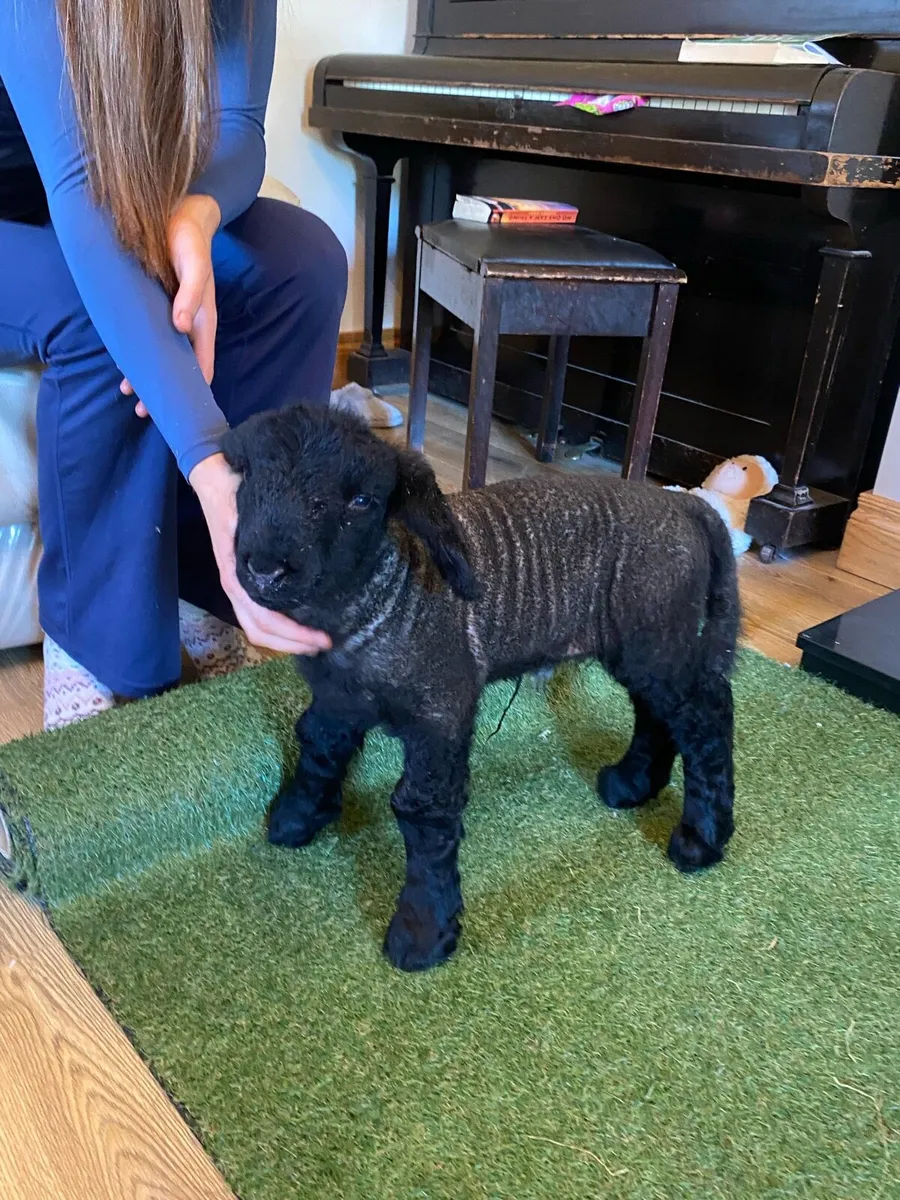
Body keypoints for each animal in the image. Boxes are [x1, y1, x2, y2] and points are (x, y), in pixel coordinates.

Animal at [222, 404, 740, 972]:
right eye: (248, 474)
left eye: (361, 501)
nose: (265, 569)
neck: (378, 594)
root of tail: (684, 503)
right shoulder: (338, 699)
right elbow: (317, 745)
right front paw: (297, 816)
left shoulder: (442, 709)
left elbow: (423, 811)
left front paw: (423, 932)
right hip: (641, 643)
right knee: (658, 711)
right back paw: (632, 785)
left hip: (657, 632)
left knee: (705, 718)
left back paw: (701, 838)